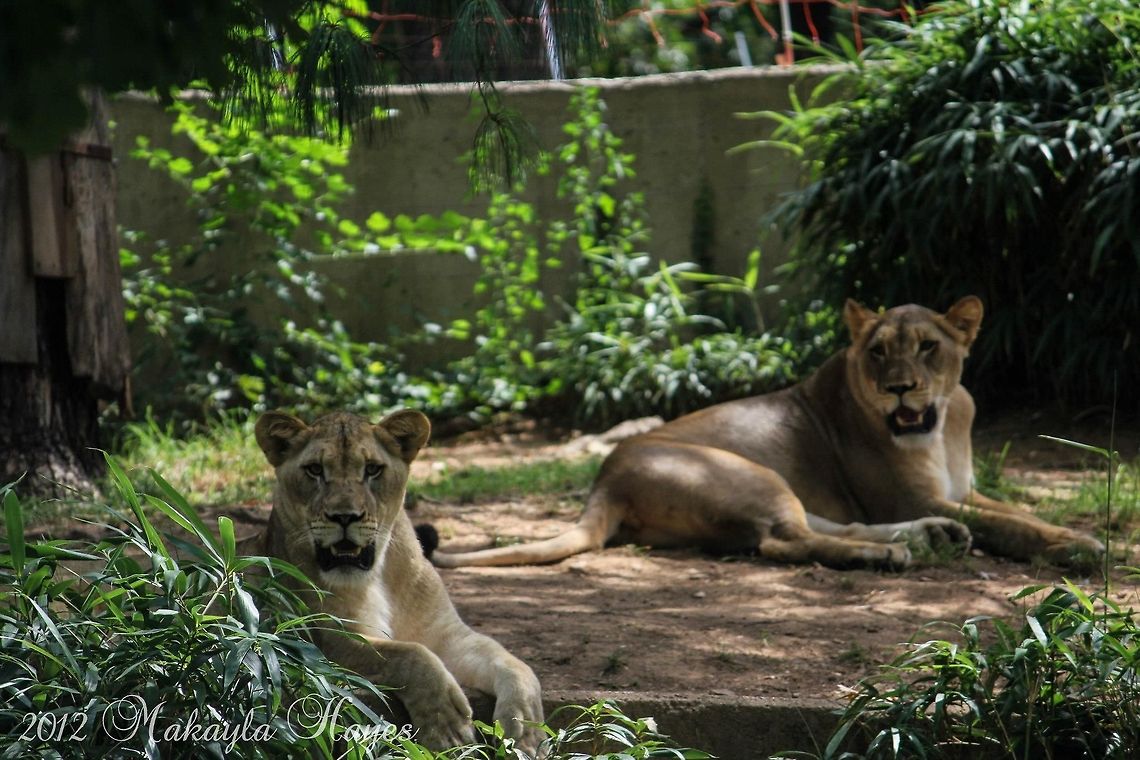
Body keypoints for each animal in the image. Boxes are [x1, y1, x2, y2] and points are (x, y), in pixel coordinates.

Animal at [252, 409, 543, 752]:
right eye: (314, 470)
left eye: (372, 469)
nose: (344, 517)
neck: (377, 576)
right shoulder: (324, 642)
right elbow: (407, 653)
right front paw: (447, 727)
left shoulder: (448, 636)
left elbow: (513, 663)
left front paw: (527, 730)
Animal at [431, 296, 1104, 570]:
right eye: (878, 352)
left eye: (928, 348)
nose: (900, 388)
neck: (942, 427)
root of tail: (604, 480)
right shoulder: (905, 494)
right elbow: (1010, 526)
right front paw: (1080, 547)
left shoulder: (959, 488)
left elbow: (1017, 513)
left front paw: (1070, 536)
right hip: (747, 472)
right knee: (784, 542)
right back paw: (889, 554)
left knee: (818, 528)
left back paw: (932, 536)